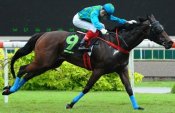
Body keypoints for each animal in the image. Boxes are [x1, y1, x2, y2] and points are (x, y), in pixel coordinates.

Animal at [2, 14, 174, 110]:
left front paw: (137, 106)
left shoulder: (121, 69)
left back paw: (10, 90)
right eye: (157, 29)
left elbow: (129, 89)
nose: (169, 42)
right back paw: (9, 89)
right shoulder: (99, 70)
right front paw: (70, 104)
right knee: (22, 69)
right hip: (43, 61)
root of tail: (43, 34)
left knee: (27, 75)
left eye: (162, 27)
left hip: (49, 64)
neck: (117, 43)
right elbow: (87, 87)